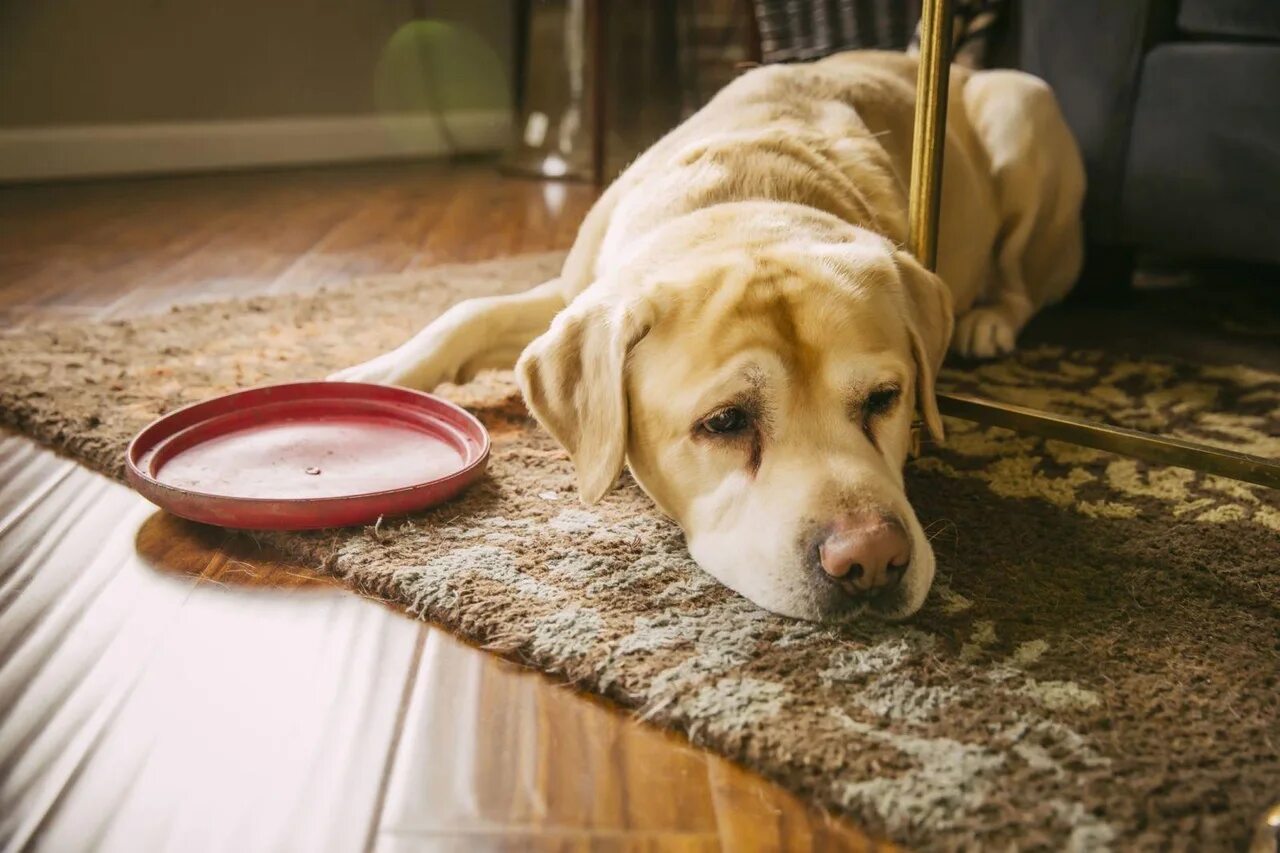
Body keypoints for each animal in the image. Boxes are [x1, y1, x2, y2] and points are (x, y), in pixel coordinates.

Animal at [335, 53, 1085, 622]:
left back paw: (988, 319)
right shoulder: (572, 290)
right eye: (725, 422)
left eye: (885, 398)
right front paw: (370, 377)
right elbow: (469, 309)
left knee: (1021, 280)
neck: (741, 201)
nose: (872, 559)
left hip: (1024, 108)